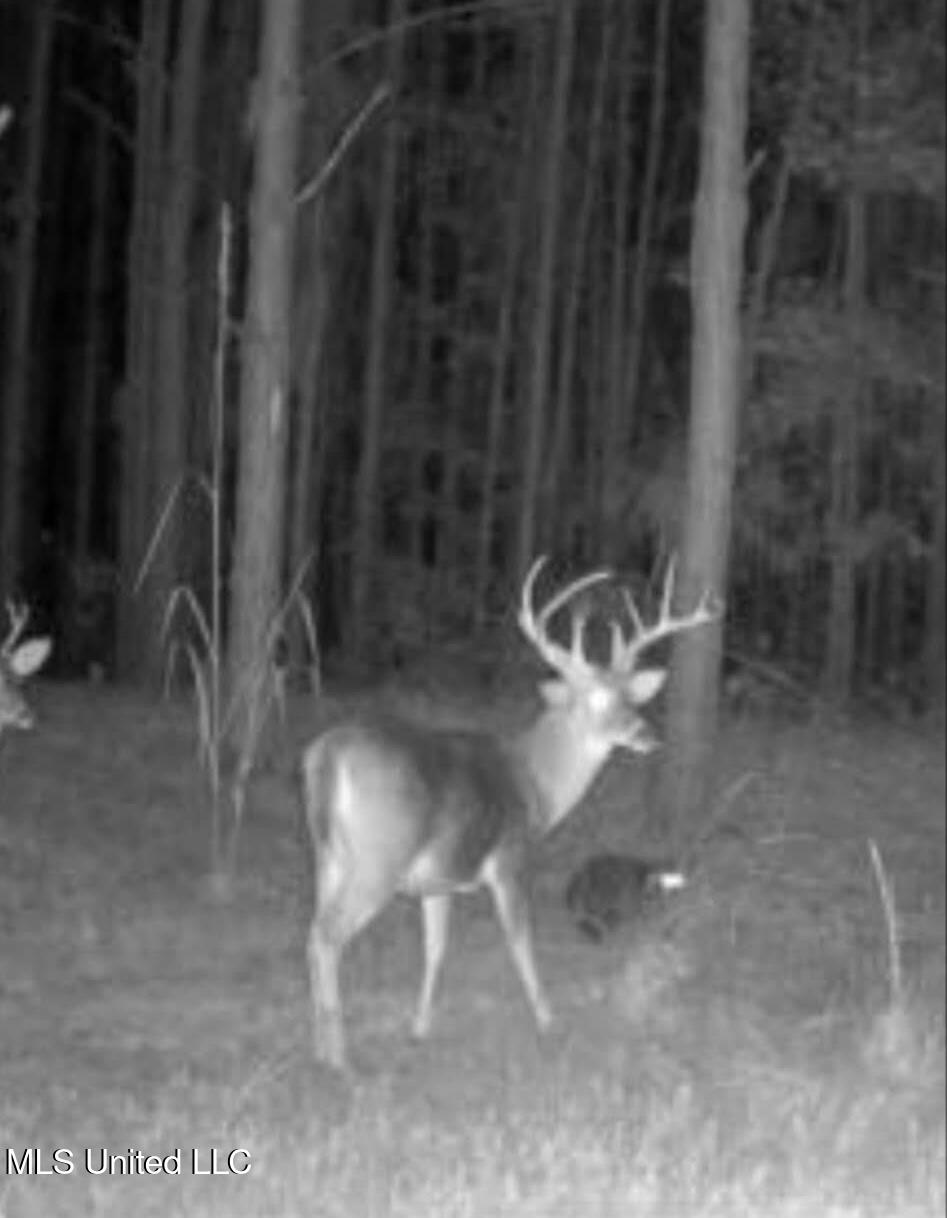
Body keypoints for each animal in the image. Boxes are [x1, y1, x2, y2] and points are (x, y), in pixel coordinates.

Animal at [302, 556, 720, 1070]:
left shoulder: (438, 880)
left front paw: (419, 1029)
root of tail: (325, 756)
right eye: (597, 699)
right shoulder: (510, 858)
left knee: (313, 933)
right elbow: (521, 942)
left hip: (328, 857)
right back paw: (338, 1057)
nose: (647, 734)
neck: (535, 781)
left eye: (631, 695)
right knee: (327, 938)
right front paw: (548, 1022)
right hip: (377, 860)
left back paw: (319, 1044)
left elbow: (435, 949)